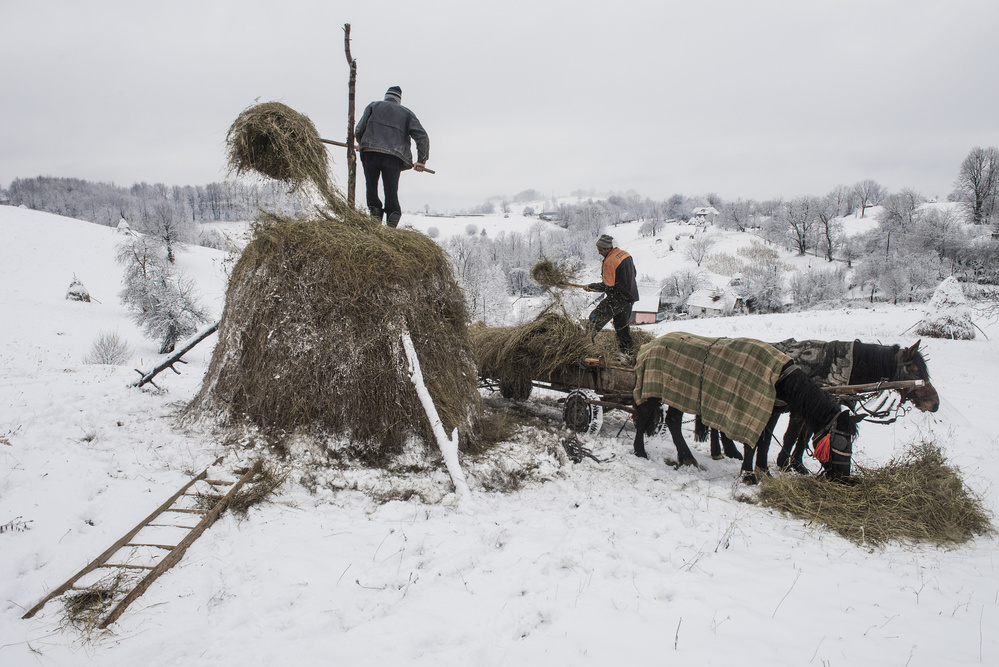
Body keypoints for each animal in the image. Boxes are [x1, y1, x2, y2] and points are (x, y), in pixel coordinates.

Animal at [632, 336, 860, 482]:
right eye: (839, 441)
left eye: (851, 442)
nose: (843, 477)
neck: (779, 378)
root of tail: (649, 345)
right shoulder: (747, 410)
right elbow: (752, 444)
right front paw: (749, 475)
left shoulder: (771, 413)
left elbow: (764, 443)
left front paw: (763, 471)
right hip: (653, 389)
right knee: (643, 416)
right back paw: (640, 451)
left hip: (678, 393)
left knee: (673, 422)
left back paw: (687, 457)